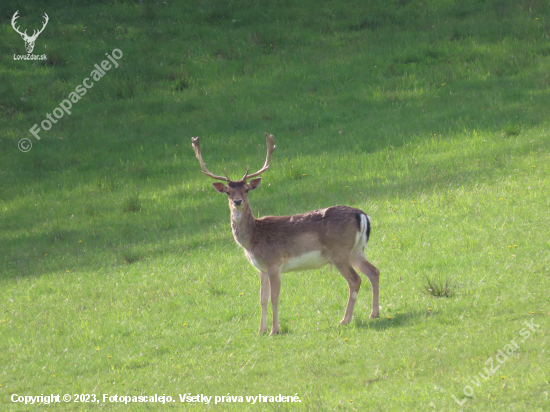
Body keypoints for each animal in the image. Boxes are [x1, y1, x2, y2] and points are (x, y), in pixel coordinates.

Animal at [193, 134, 380, 334]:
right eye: (228, 192)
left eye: (246, 189)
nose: (237, 201)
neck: (252, 239)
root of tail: (362, 215)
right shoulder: (261, 269)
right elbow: (262, 299)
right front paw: (261, 331)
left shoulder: (274, 263)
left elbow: (274, 297)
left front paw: (274, 330)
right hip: (356, 250)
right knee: (374, 271)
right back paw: (374, 313)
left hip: (339, 252)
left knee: (355, 280)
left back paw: (345, 320)